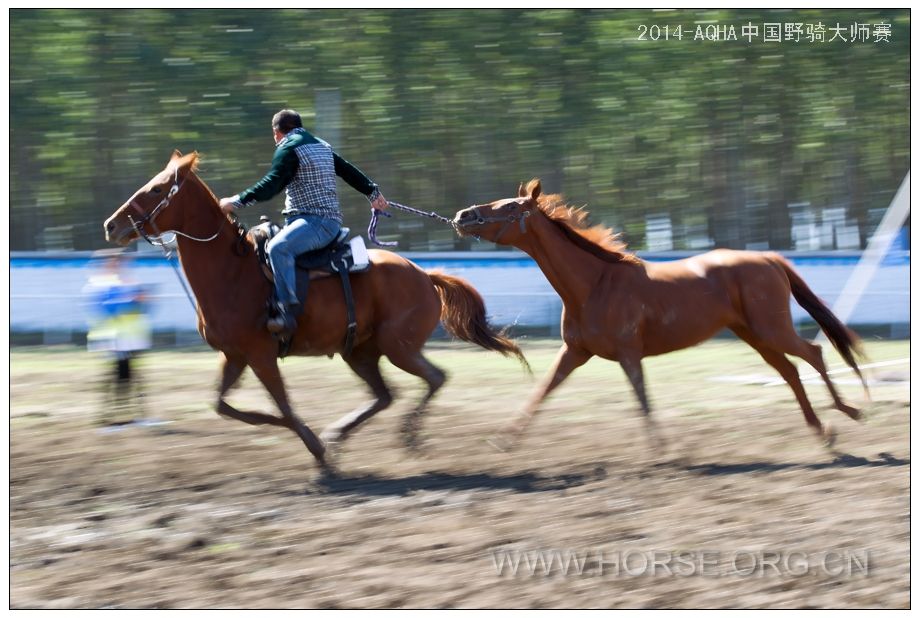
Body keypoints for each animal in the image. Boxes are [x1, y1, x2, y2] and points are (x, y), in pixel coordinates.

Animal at [104, 152, 524, 464]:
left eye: (157, 188)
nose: (111, 225)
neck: (233, 272)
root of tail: (424, 273)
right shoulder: (234, 355)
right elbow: (224, 405)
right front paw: (302, 436)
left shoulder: (260, 355)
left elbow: (284, 405)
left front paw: (314, 448)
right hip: (360, 351)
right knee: (385, 395)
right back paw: (339, 433)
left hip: (398, 347)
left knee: (435, 378)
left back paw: (405, 436)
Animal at [456, 178, 868, 448]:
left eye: (511, 207)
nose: (463, 215)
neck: (595, 283)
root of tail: (769, 258)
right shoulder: (575, 352)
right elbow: (543, 391)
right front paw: (505, 439)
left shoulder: (628, 353)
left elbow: (642, 400)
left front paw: (663, 450)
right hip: (753, 334)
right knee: (790, 371)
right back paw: (821, 429)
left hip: (771, 329)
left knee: (813, 353)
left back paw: (848, 411)